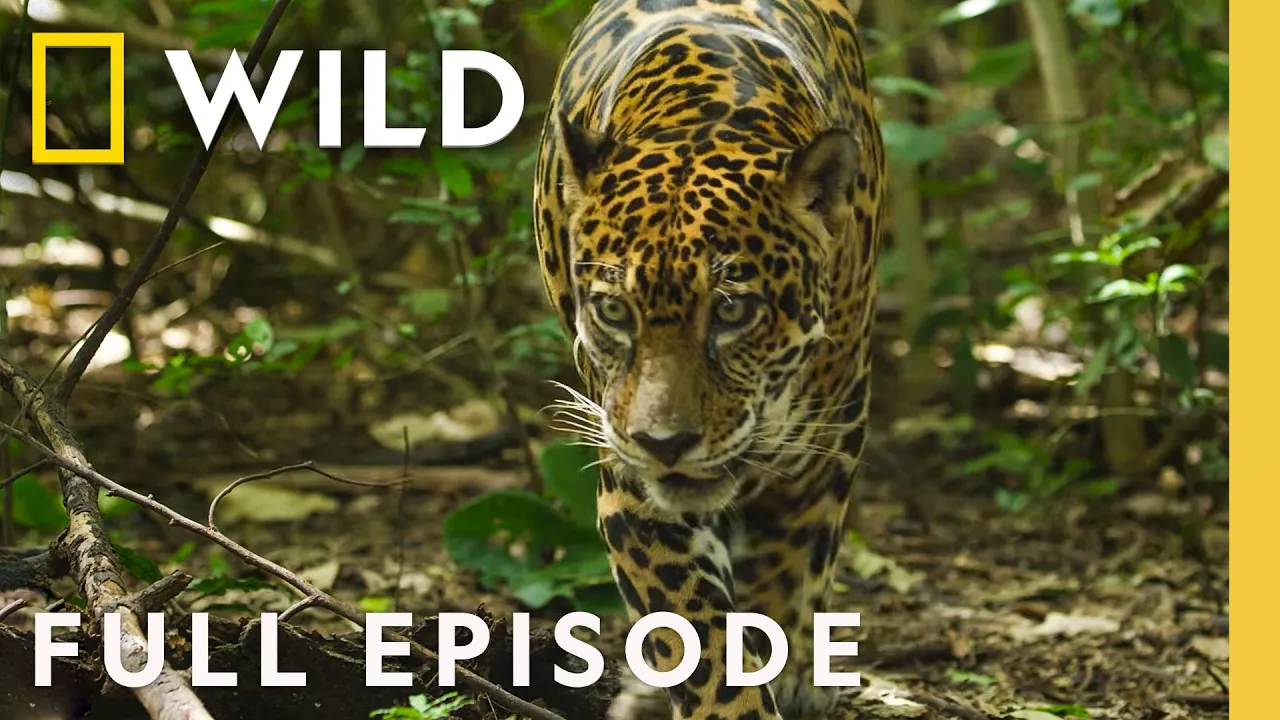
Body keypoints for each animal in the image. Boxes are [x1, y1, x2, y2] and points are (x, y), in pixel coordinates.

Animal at [530, 0, 886, 717]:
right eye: (615, 313)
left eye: (731, 311)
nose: (664, 443)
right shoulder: (631, 486)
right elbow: (701, 638)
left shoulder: (819, 453)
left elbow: (784, 584)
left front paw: (790, 671)